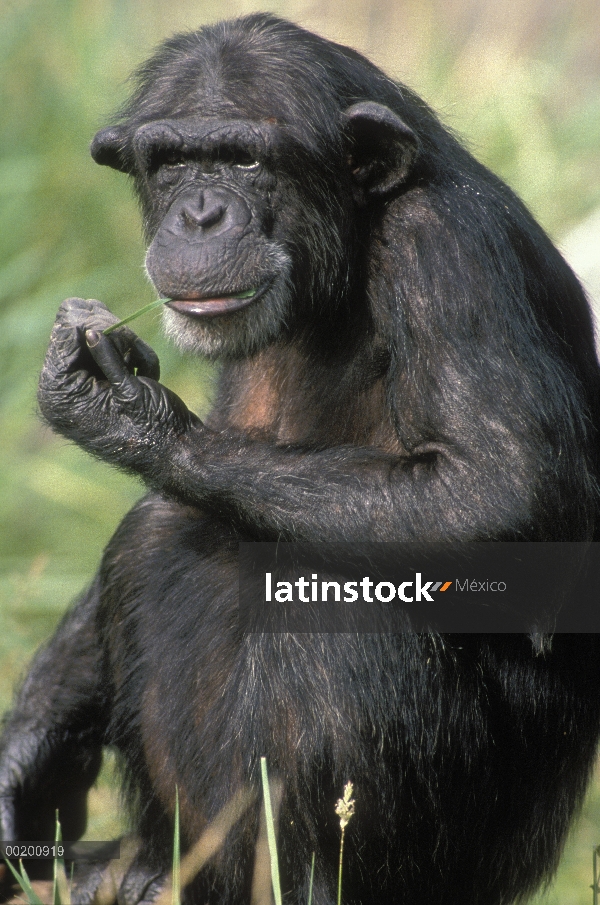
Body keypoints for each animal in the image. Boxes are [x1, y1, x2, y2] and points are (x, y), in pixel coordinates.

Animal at [1, 14, 600, 904]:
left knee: (338, 596)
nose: (201, 213)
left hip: (479, 858)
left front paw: (129, 413)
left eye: (246, 159)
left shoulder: (449, 253)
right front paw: (27, 749)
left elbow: (500, 492)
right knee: (164, 536)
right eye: (171, 160)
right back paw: (146, 863)